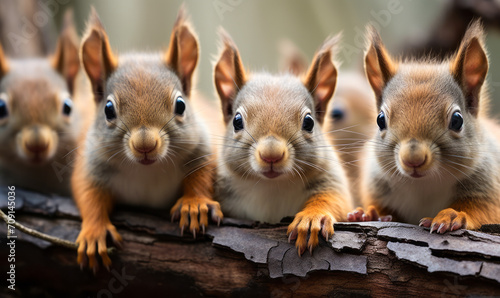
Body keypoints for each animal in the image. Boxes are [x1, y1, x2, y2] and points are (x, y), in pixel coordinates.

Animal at [73, 7, 222, 270]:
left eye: (181, 105)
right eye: (108, 110)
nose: (145, 145)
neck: (147, 171)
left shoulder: (203, 148)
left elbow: (203, 174)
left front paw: (194, 204)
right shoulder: (91, 164)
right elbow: (87, 192)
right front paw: (93, 232)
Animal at [214, 29, 352, 255]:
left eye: (309, 122)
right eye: (237, 121)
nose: (271, 155)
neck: (272, 187)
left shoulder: (331, 179)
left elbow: (335, 200)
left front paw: (311, 219)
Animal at [348, 21, 500, 232]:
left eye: (457, 120)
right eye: (380, 120)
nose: (413, 159)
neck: (424, 185)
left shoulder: (489, 184)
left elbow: (483, 210)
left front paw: (451, 215)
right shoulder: (377, 183)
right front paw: (369, 213)